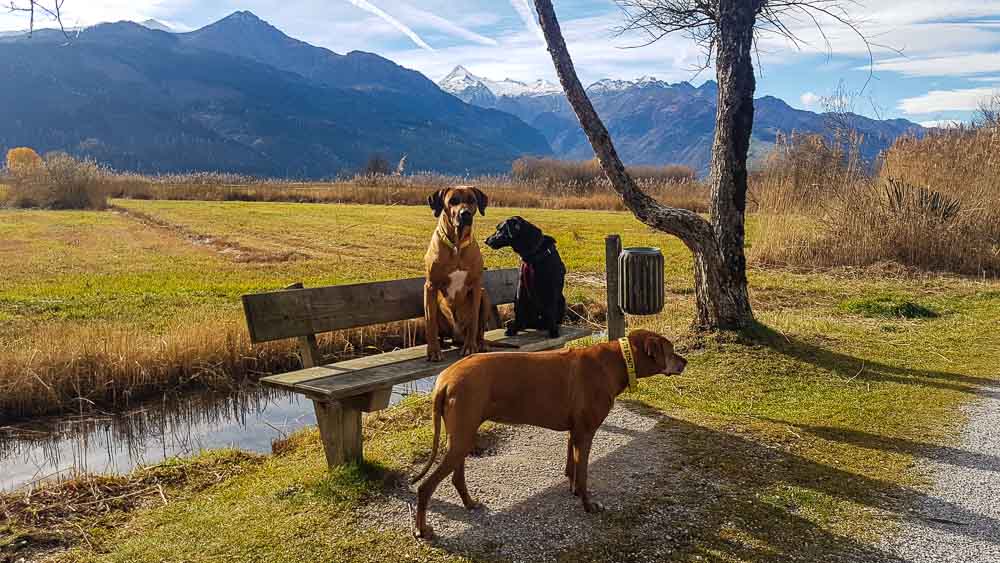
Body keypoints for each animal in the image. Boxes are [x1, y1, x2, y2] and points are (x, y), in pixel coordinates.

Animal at [412, 328, 688, 540]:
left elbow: (573, 466)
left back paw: (469, 503)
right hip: (461, 436)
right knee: (425, 488)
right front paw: (588, 505)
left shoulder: (575, 431)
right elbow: (584, 473)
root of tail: (444, 380)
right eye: (670, 349)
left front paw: (574, 489)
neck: (618, 360)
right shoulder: (586, 432)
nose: (685, 361)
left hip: (463, 434)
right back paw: (422, 529)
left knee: (456, 477)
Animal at [424, 185, 494, 362]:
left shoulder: (476, 286)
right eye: (453, 201)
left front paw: (470, 347)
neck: (456, 245)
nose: (465, 214)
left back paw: (480, 343)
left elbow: (474, 320)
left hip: (484, 294)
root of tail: (457, 336)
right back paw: (442, 344)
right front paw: (433, 350)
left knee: (479, 330)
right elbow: (430, 322)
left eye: (472, 200)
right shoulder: (430, 286)